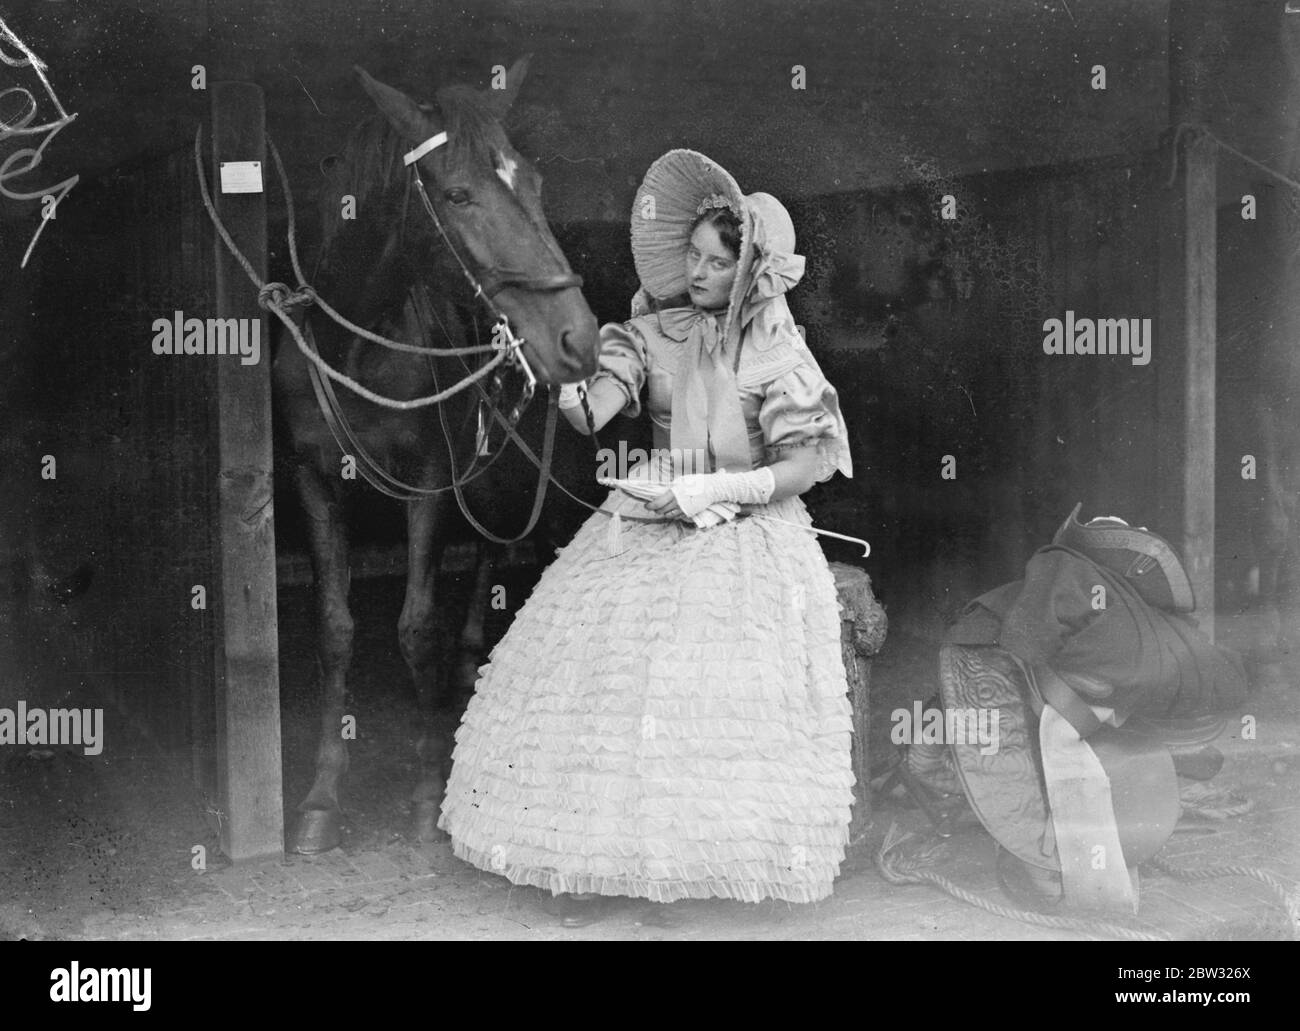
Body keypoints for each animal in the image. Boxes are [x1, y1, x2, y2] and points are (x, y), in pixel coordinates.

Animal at [275, 60, 603, 858]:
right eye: (457, 195)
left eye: (535, 182)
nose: (578, 338)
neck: (355, 345)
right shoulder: (313, 480)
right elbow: (335, 630)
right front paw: (320, 799)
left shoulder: (428, 482)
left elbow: (416, 625)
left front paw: (427, 792)